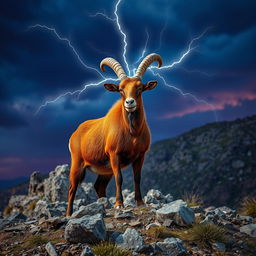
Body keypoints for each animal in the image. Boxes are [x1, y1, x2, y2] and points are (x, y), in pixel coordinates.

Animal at [66, 53, 162, 215]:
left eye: (139, 88)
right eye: (121, 89)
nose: (130, 103)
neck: (131, 132)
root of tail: (75, 133)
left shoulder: (140, 155)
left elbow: (137, 177)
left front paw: (140, 202)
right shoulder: (114, 155)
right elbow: (120, 178)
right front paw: (119, 204)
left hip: (105, 170)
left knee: (99, 186)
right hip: (77, 163)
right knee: (72, 188)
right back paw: (69, 214)